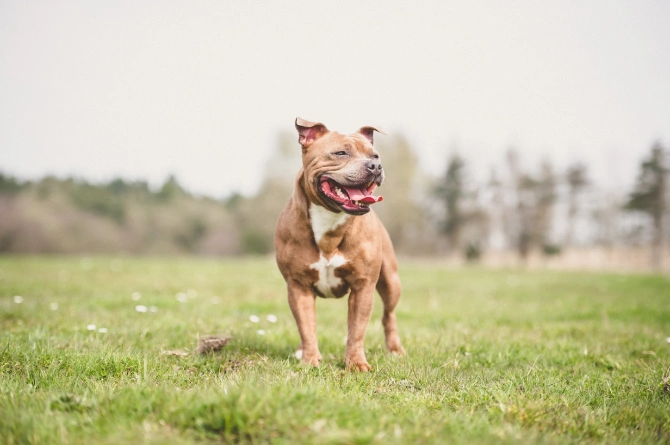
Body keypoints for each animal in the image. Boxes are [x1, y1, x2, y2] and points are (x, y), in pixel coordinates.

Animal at [276, 116, 406, 370]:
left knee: (389, 315)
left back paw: (395, 349)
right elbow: (306, 326)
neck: (330, 220)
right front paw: (309, 360)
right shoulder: (298, 286)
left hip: (390, 281)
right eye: (341, 153)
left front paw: (355, 363)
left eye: (375, 155)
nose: (375, 166)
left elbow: (356, 330)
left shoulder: (363, 286)